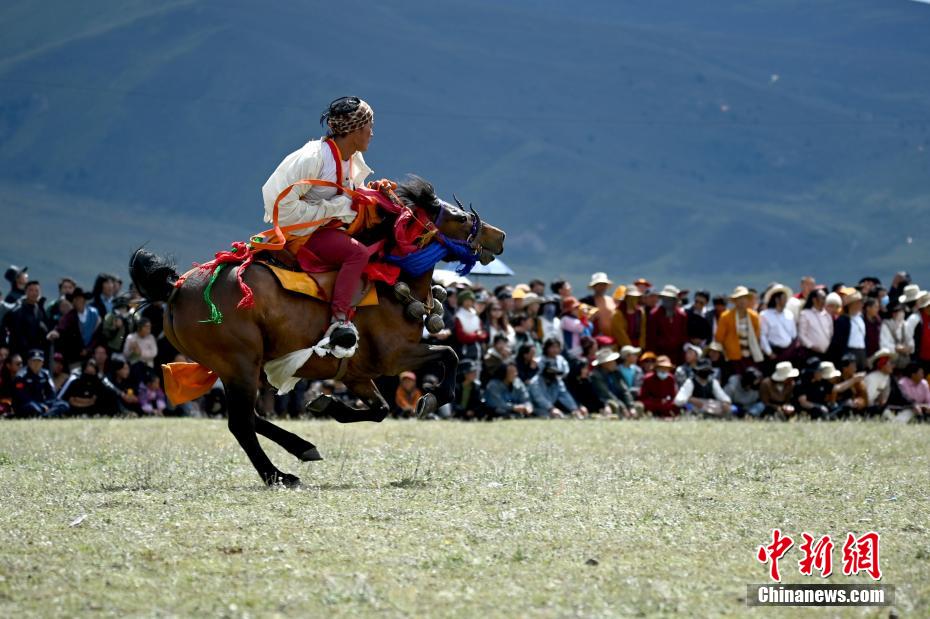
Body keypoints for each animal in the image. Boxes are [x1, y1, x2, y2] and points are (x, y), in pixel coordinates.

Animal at [129, 177, 500, 486]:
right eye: (462, 219)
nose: (500, 236)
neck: (392, 280)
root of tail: (175, 288)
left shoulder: (357, 374)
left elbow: (380, 410)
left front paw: (327, 404)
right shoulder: (396, 356)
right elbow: (449, 355)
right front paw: (433, 397)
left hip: (240, 367)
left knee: (249, 416)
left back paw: (301, 446)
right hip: (239, 363)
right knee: (241, 423)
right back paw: (277, 475)